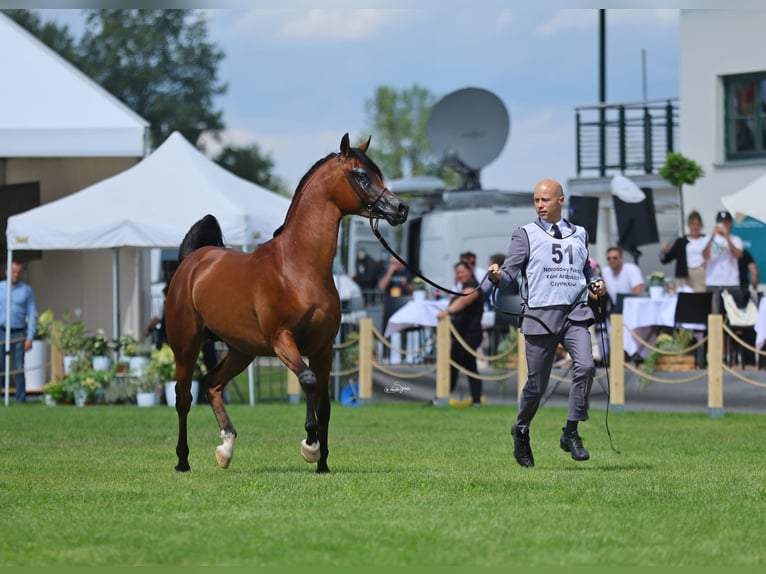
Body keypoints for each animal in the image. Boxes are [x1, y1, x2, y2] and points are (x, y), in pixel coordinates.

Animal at [166, 133, 412, 474]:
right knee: (183, 397)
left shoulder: (324, 348)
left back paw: (226, 448)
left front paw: (323, 464)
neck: (298, 268)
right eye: (361, 175)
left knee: (212, 383)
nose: (400, 208)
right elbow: (307, 380)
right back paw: (182, 461)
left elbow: (324, 403)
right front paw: (310, 445)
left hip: (242, 350)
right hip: (186, 346)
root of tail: (193, 261)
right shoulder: (282, 340)